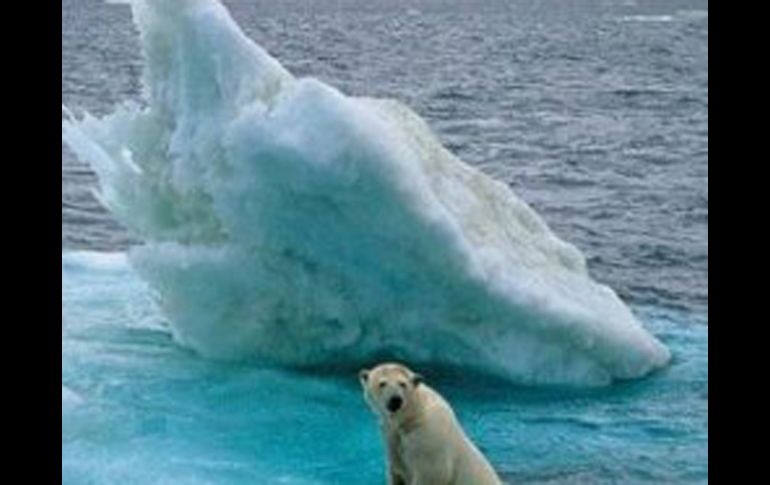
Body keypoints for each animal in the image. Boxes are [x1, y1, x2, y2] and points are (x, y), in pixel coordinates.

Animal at [356, 362, 500, 482]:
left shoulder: (428, 436)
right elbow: (396, 470)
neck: (413, 415)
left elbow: (432, 472)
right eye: (382, 383)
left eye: (403, 384)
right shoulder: (391, 435)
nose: (395, 400)